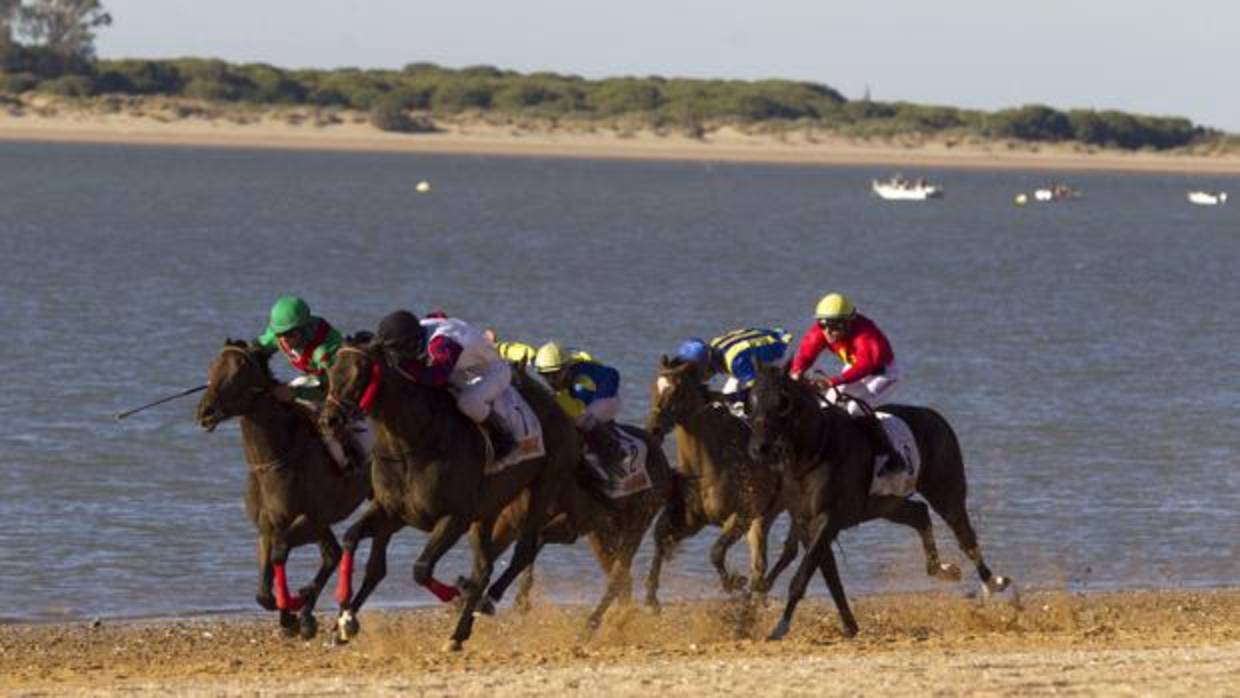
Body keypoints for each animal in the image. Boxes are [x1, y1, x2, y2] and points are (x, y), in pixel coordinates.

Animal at [193, 342, 367, 639]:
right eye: (212, 367)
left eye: (239, 373)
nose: (205, 412)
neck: (274, 461)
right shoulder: (267, 525)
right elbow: (264, 588)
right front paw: (292, 615)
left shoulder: (309, 520)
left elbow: (280, 553)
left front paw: (293, 609)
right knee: (331, 554)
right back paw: (306, 615)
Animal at [314, 337, 575, 649]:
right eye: (331, 372)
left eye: (360, 373)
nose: (328, 420)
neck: (410, 444)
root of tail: (557, 406)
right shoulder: (391, 512)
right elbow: (361, 550)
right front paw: (345, 620)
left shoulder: (454, 518)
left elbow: (421, 569)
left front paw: (455, 593)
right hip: (488, 510)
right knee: (484, 567)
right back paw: (461, 630)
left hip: (541, 488)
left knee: (522, 552)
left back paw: (481, 605)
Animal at [644, 357, 788, 609]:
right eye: (655, 386)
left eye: (678, 391)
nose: (653, 428)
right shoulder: (692, 520)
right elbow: (661, 537)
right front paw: (651, 598)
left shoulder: (741, 515)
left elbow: (716, 551)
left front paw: (734, 582)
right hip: (765, 517)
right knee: (760, 562)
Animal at [744, 364, 1006, 639]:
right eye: (750, 402)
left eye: (782, 402)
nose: (759, 448)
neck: (815, 452)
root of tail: (935, 416)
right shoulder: (806, 521)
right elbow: (829, 576)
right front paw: (850, 625)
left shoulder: (827, 519)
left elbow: (802, 576)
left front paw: (779, 627)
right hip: (888, 503)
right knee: (919, 513)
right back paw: (942, 569)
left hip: (945, 491)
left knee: (965, 536)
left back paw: (992, 583)